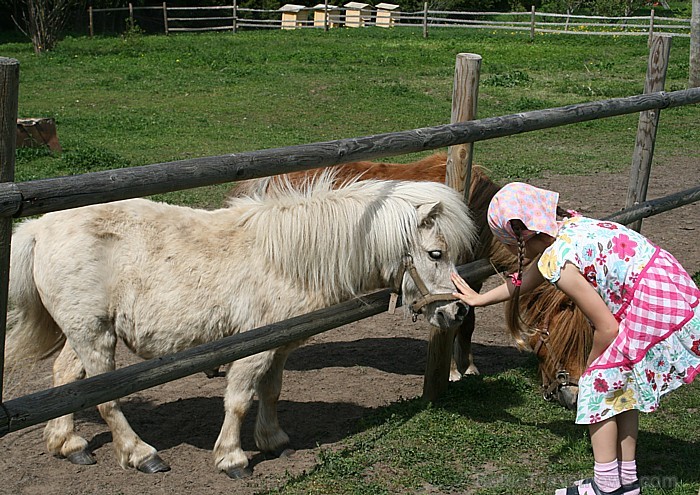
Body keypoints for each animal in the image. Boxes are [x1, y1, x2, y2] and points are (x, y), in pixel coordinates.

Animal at [4, 176, 476, 478]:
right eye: (435, 254)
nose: (455, 313)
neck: (290, 259)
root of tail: (37, 228)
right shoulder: (253, 348)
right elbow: (238, 400)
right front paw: (232, 458)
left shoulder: (281, 345)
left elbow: (271, 391)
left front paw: (273, 440)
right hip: (94, 335)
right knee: (106, 398)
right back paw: (140, 455)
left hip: (86, 330)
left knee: (66, 377)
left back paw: (68, 444)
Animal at [231, 153, 592, 408]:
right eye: (561, 337)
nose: (572, 396)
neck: (474, 213)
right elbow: (452, 325)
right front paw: (452, 372)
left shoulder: (470, 283)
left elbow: (468, 322)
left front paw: (469, 368)